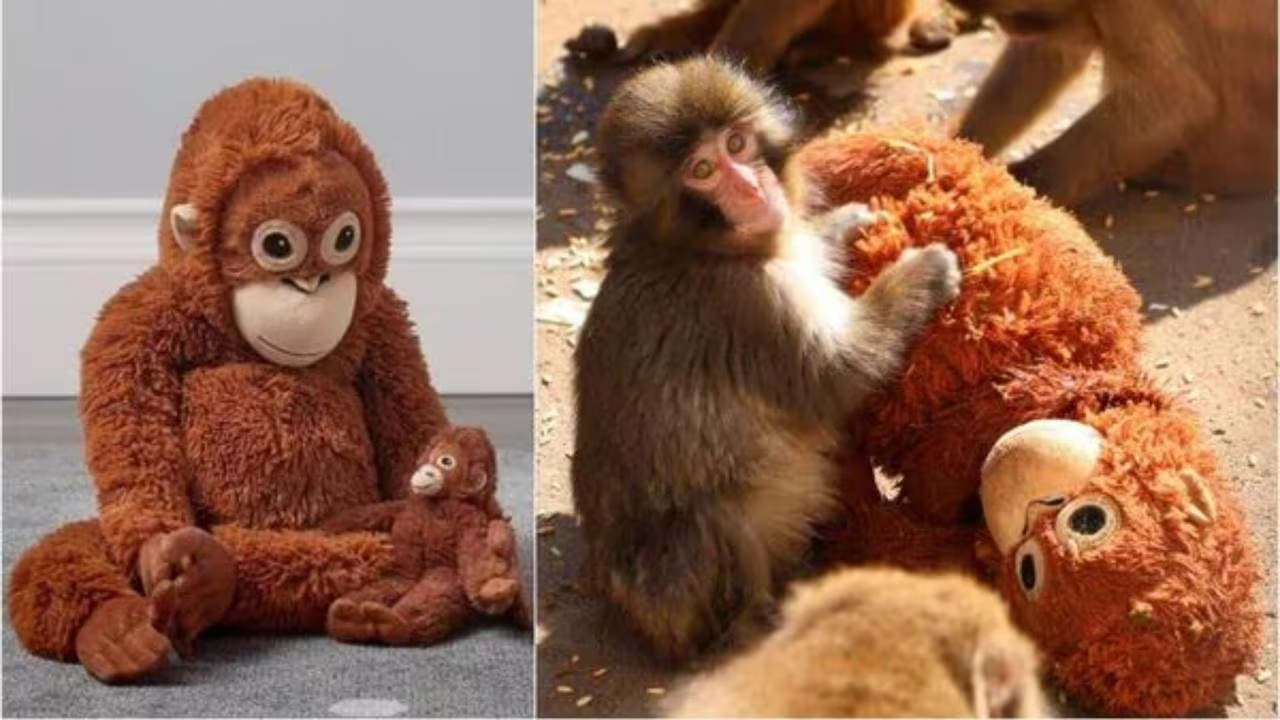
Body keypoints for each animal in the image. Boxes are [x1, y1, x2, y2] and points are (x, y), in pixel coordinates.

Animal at [572, 58, 962, 663]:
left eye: (737, 143)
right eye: (703, 169)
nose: (752, 187)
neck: (698, 247)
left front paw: (841, 225)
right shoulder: (748, 303)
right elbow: (836, 376)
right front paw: (920, 275)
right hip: (673, 597)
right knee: (713, 518)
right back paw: (757, 623)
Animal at [953, 0, 1278, 205]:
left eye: (1016, 16)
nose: (1011, 27)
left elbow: (1179, 100)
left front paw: (1020, 190)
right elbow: (1048, 54)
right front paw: (960, 147)